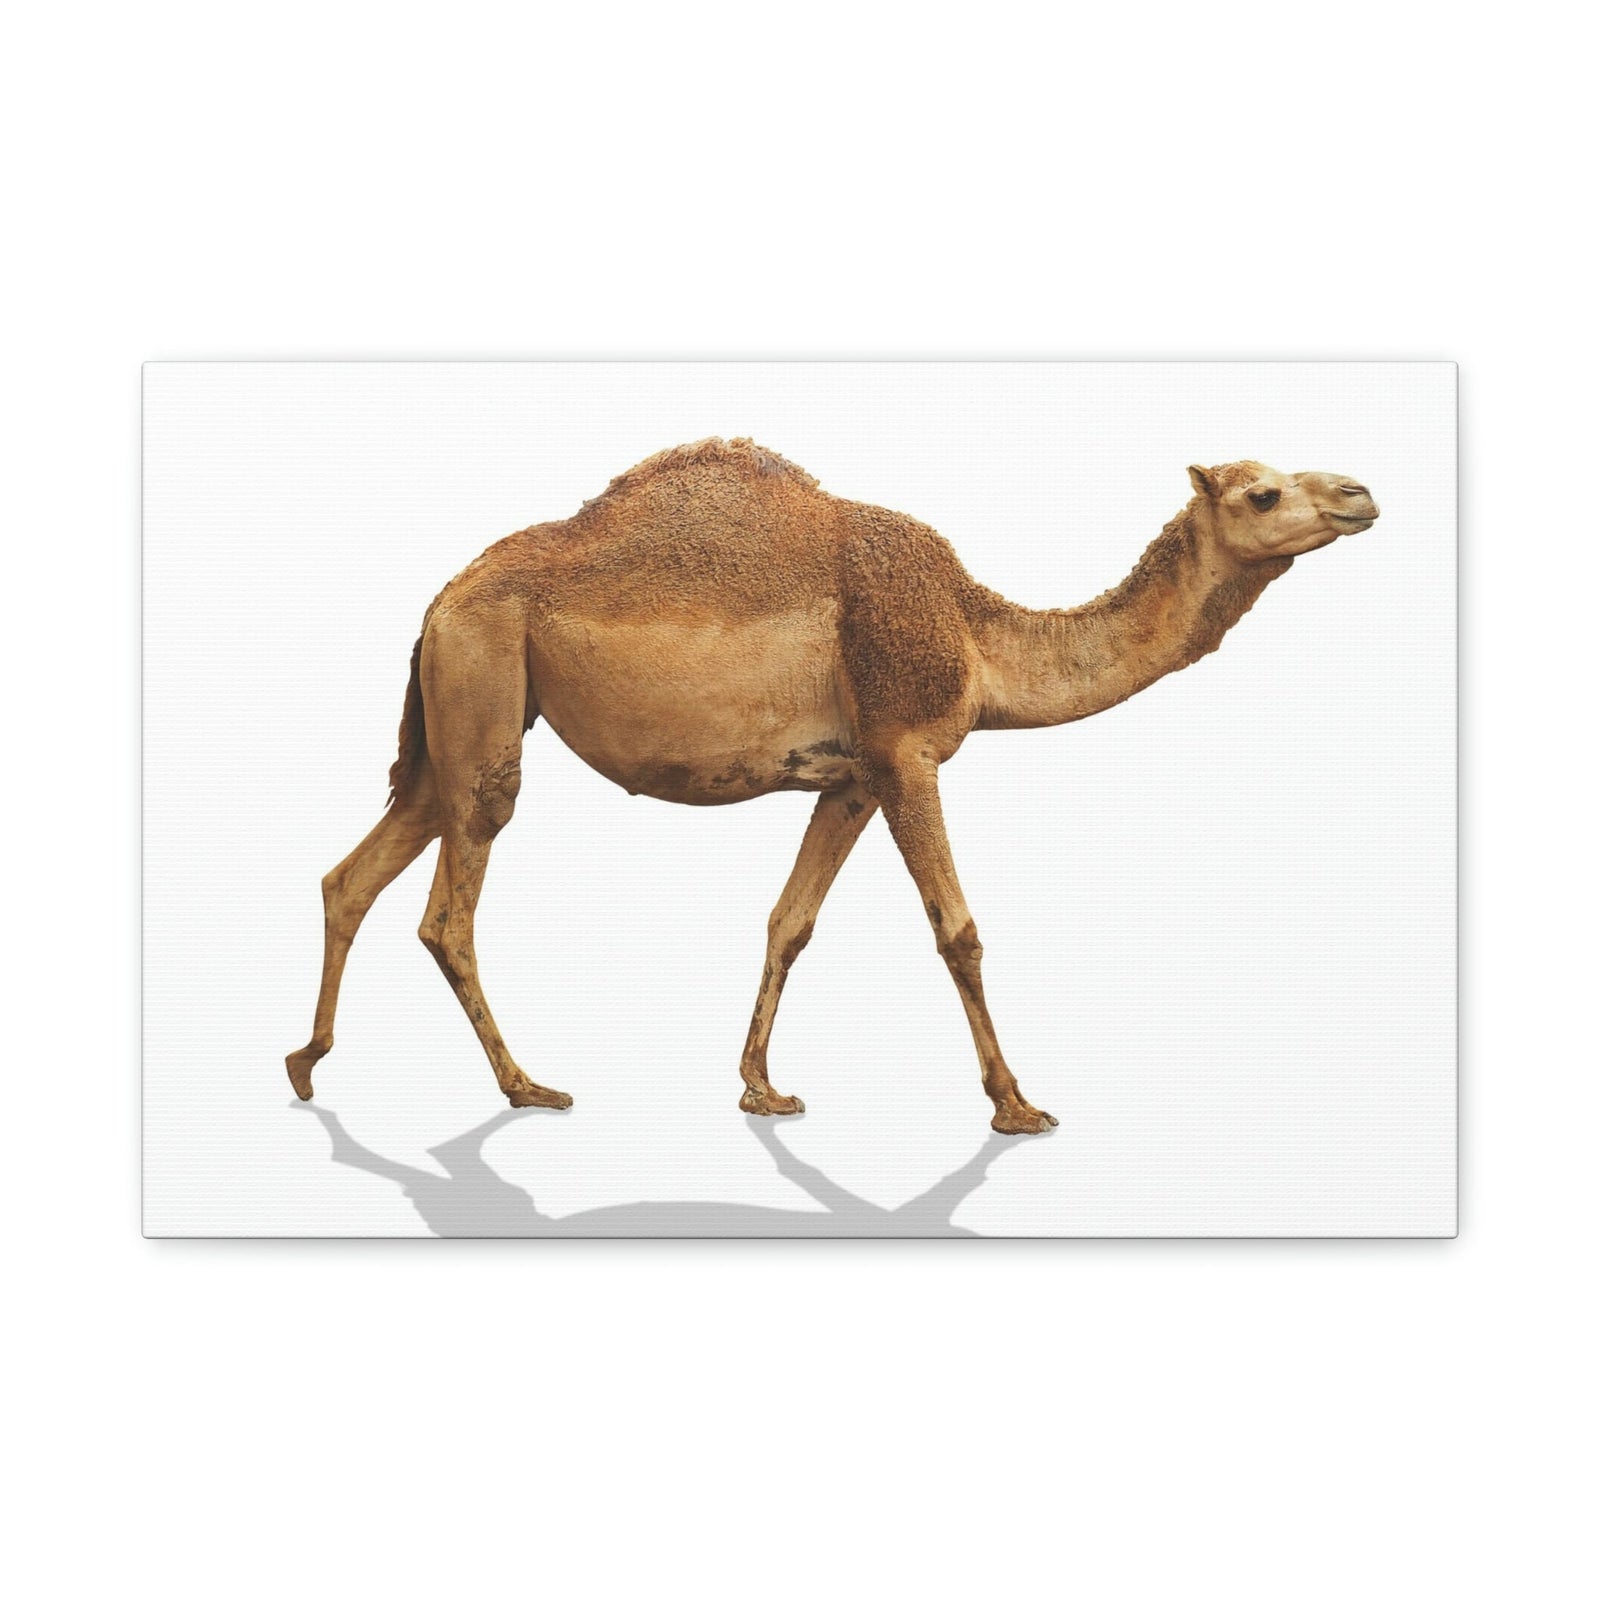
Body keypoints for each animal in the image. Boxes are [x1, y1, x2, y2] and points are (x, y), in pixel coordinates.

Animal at [286, 439, 1378, 1134]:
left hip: (463, 715)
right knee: (449, 908)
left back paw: (307, 1065)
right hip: (485, 689)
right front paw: (1015, 1106)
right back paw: (527, 1088)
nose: (1360, 494)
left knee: (358, 868)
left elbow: (789, 921)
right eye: (1261, 494)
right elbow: (957, 929)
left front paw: (760, 1089)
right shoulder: (905, 750)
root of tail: (441, 598)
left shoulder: (849, 779)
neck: (976, 632)